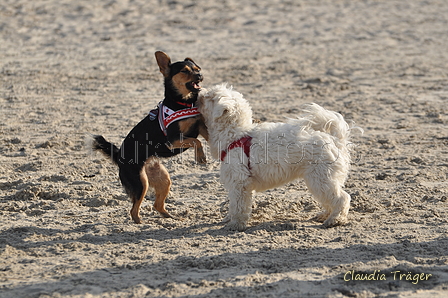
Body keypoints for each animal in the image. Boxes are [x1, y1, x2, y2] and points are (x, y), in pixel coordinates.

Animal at [94, 51, 208, 224]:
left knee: (157, 205)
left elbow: (204, 136)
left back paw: (171, 218)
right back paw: (140, 224)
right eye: (185, 71)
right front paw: (200, 156)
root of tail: (119, 156)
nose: (200, 75)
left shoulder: (199, 125)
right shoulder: (172, 140)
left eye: (197, 69)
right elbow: (196, 141)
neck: (182, 103)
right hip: (141, 183)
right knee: (133, 210)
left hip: (162, 179)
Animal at [199, 85, 360, 232]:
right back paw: (325, 215)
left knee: (342, 198)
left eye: (210, 97)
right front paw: (229, 219)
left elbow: (238, 206)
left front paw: (235, 225)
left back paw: (335, 219)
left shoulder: (239, 182)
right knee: (330, 199)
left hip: (321, 178)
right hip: (321, 180)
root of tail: (336, 139)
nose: (199, 91)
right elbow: (238, 205)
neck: (236, 134)